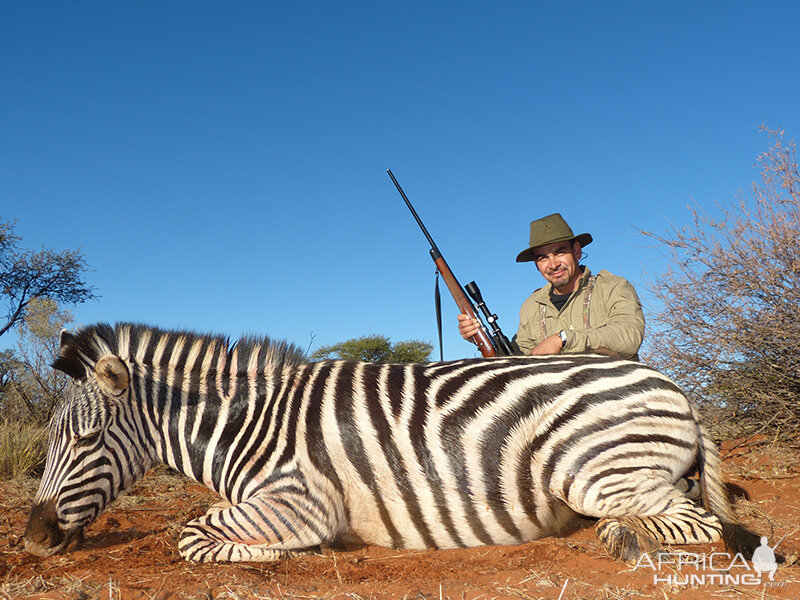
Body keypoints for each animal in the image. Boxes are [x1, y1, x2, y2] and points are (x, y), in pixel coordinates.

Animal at [23, 324, 756, 564]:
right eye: (48, 441)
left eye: (86, 438)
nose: (31, 539)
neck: (246, 423)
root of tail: (675, 385)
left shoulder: (297, 500)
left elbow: (192, 535)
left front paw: (288, 553)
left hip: (598, 472)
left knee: (702, 524)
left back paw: (623, 538)